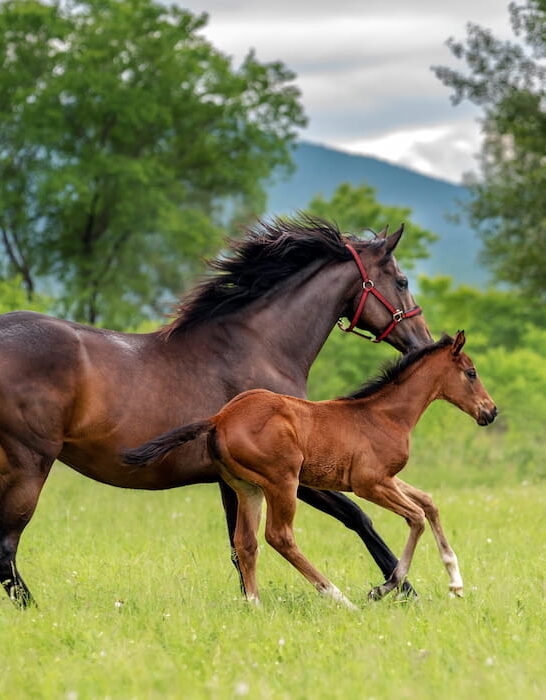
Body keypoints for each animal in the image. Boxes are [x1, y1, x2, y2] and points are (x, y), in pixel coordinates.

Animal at [0, 215, 430, 608]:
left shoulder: (235, 483)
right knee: (6, 547)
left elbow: (240, 546)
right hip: (30, 466)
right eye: (402, 281)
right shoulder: (292, 474)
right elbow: (357, 515)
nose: (422, 342)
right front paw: (403, 590)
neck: (260, 347)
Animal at [124, 330, 498, 604]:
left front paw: (455, 582)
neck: (385, 415)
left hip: (247, 488)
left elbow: (429, 503)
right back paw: (338, 597)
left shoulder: (388, 478)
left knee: (245, 541)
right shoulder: (369, 483)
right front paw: (381, 589)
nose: (490, 411)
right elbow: (416, 517)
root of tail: (219, 418)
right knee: (279, 536)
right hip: (282, 482)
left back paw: (255, 605)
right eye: (471, 373)